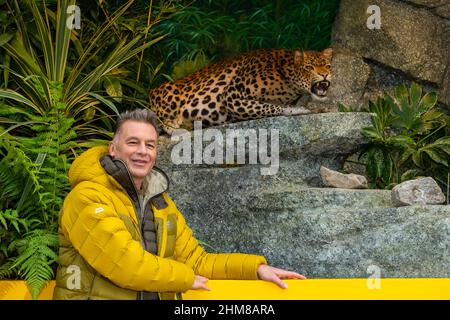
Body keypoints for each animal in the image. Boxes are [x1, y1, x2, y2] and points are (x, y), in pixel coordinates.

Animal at [148, 47, 330, 134]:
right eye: (309, 67)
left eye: (328, 65)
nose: (325, 74)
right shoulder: (232, 97)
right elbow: (269, 107)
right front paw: (296, 110)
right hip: (167, 89)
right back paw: (177, 126)